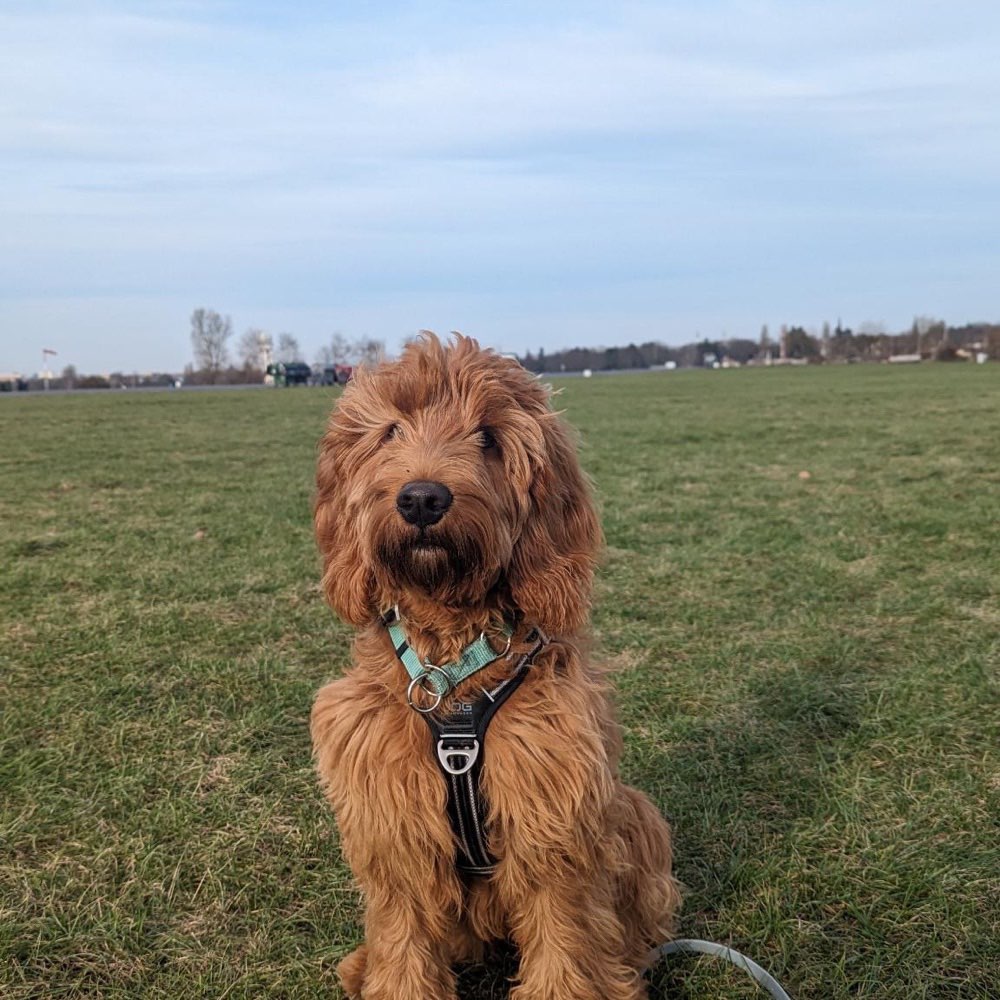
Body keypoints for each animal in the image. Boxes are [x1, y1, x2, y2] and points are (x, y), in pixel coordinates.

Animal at [308, 332, 680, 996]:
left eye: (487, 436)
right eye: (392, 430)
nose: (422, 498)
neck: (453, 667)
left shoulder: (552, 814)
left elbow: (563, 940)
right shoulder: (392, 821)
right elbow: (402, 933)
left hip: (632, 811)